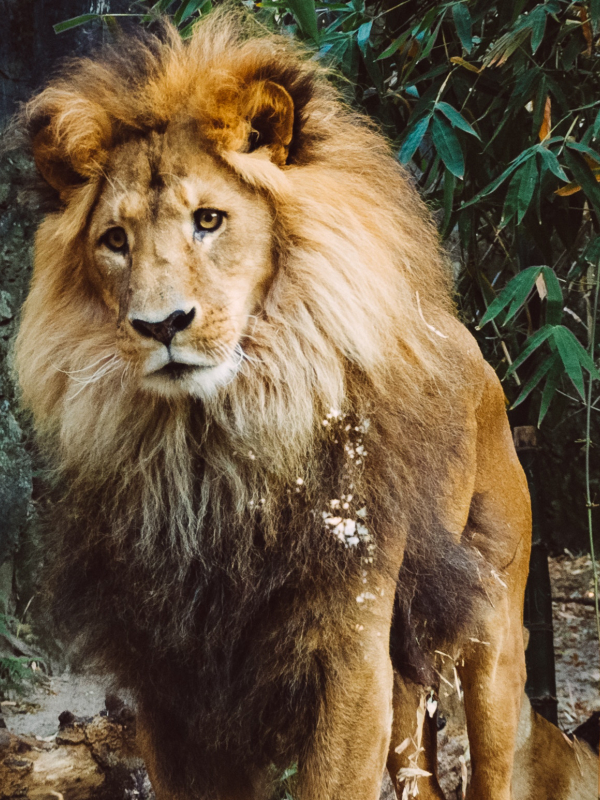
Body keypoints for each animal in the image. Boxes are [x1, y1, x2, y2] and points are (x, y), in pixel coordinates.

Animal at [11, 9, 585, 800]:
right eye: (115, 241)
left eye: (210, 221)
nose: (161, 325)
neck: (212, 450)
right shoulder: (170, 677)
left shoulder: (349, 652)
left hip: (493, 628)